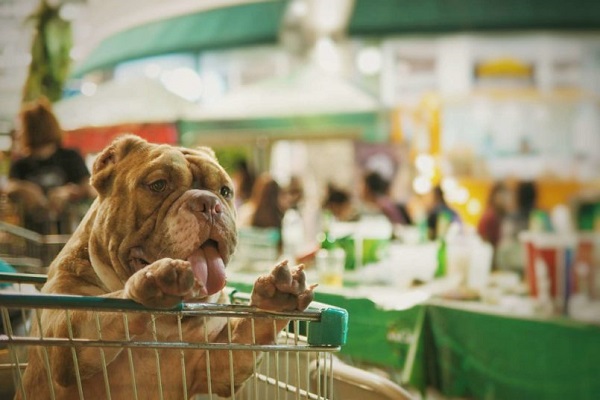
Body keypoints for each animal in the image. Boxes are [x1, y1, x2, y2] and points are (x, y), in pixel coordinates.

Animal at [17, 135, 314, 400]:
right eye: (158, 185)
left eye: (225, 191)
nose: (209, 203)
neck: (166, 324)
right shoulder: (67, 341)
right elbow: (102, 311)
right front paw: (156, 278)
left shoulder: (218, 365)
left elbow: (247, 332)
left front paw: (277, 296)